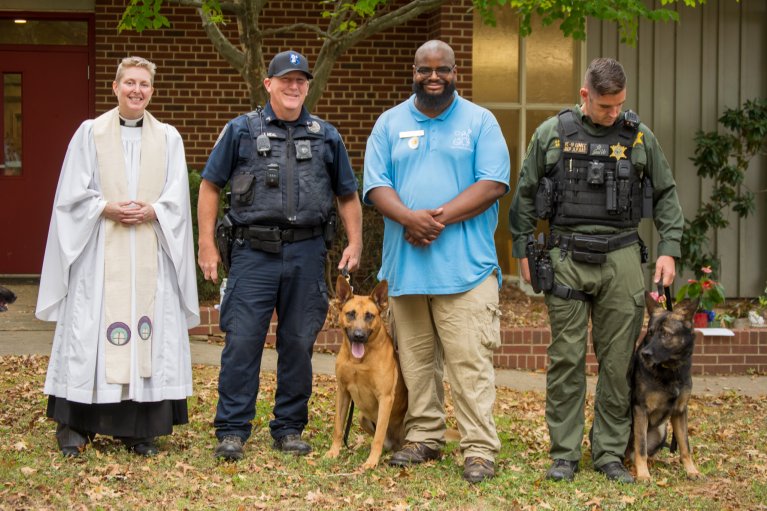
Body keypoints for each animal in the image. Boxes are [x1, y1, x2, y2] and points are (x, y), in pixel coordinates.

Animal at [324, 278, 408, 470]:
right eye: (350, 314)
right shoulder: (343, 391)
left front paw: (371, 461)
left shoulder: (385, 397)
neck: (359, 361)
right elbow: (338, 427)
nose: (358, 335)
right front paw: (334, 451)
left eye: (370, 315)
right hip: (362, 417)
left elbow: (378, 437)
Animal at [628, 294, 704, 482]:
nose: (645, 354)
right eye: (650, 332)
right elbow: (641, 447)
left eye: (665, 334)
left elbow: (685, 447)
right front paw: (643, 475)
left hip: (661, 431)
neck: (670, 371)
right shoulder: (640, 409)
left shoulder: (680, 411)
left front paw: (691, 470)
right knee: (632, 452)